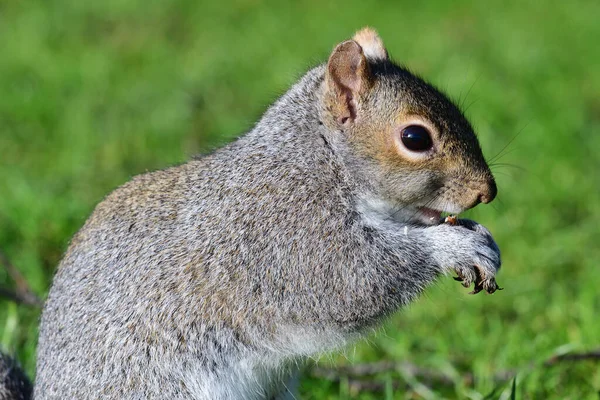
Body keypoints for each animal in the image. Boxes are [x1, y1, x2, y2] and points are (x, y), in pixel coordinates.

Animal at [3, 26, 502, 398]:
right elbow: (349, 282)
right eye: (415, 138)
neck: (320, 159)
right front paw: (454, 245)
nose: (487, 192)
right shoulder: (284, 232)